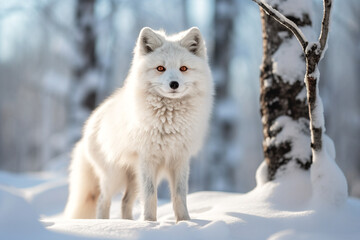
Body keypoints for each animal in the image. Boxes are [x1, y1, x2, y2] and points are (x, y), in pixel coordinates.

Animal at [64, 26, 214, 221]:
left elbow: (180, 195)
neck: (169, 122)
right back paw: (104, 223)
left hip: (134, 178)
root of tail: (90, 124)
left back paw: (127, 222)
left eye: (183, 68)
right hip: (115, 176)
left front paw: (185, 221)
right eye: (160, 68)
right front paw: (150, 222)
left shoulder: (179, 159)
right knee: (103, 201)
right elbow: (151, 196)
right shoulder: (147, 160)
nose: (174, 84)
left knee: (125, 201)